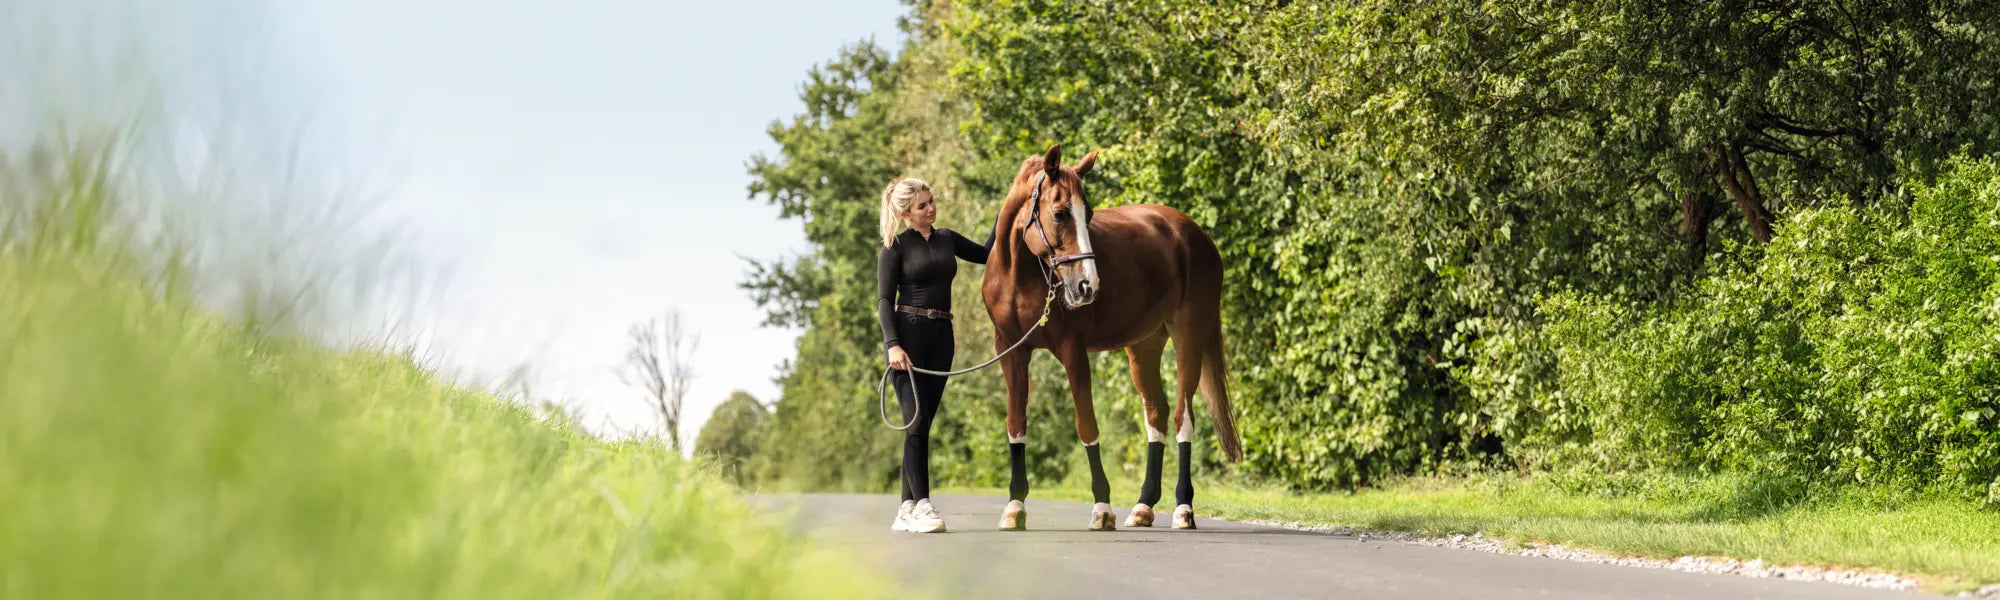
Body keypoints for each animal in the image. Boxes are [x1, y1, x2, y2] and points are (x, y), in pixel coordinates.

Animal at [980, 144, 1242, 531]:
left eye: (1088, 213)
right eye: (1059, 214)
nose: (1088, 286)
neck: (1021, 277)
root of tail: (1195, 234)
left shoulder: (1072, 351)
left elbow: (1086, 425)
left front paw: (1102, 508)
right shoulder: (1012, 352)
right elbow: (1016, 424)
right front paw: (1014, 507)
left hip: (1188, 339)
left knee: (1183, 418)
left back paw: (1183, 509)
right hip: (1144, 347)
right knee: (1157, 414)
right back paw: (1144, 506)